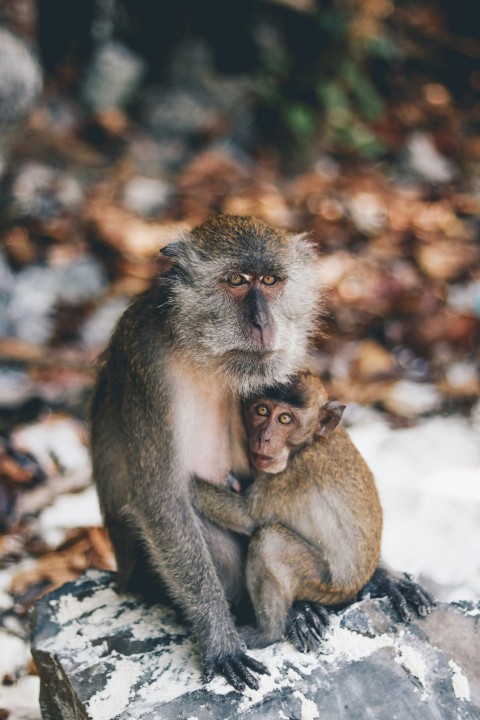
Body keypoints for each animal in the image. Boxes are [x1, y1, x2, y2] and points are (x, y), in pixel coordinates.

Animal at [90, 215, 324, 691]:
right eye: (236, 281)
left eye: (270, 281)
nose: (262, 322)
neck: (201, 353)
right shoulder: (145, 367)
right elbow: (162, 502)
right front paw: (220, 640)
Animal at [193, 370, 435, 651]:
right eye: (262, 410)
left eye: (285, 419)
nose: (264, 438)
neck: (308, 443)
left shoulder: (293, 472)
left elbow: (249, 517)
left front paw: (179, 484)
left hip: (325, 587)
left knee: (269, 541)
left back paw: (267, 633)